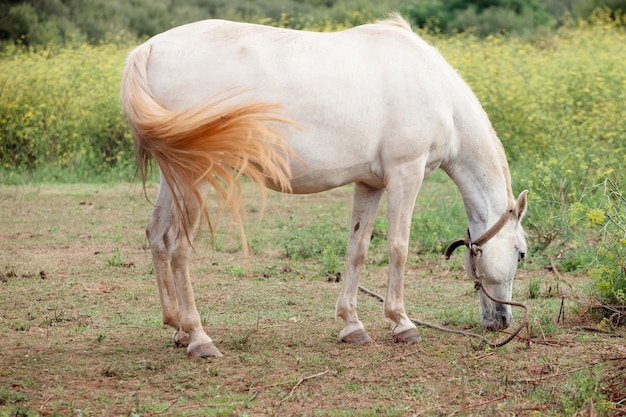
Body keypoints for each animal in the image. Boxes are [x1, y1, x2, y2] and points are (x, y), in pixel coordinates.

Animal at [119, 13, 524, 358]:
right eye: (521, 253)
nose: (503, 322)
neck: (436, 92)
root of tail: (148, 49)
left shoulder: (369, 183)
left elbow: (357, 249)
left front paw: (352, 325)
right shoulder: (405, 175)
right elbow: (398, 248)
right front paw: (402, 323)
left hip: (174, 177)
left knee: (158, 236)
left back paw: (178, 329)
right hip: (197, 177)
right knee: (179, 248)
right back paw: (199, 338)